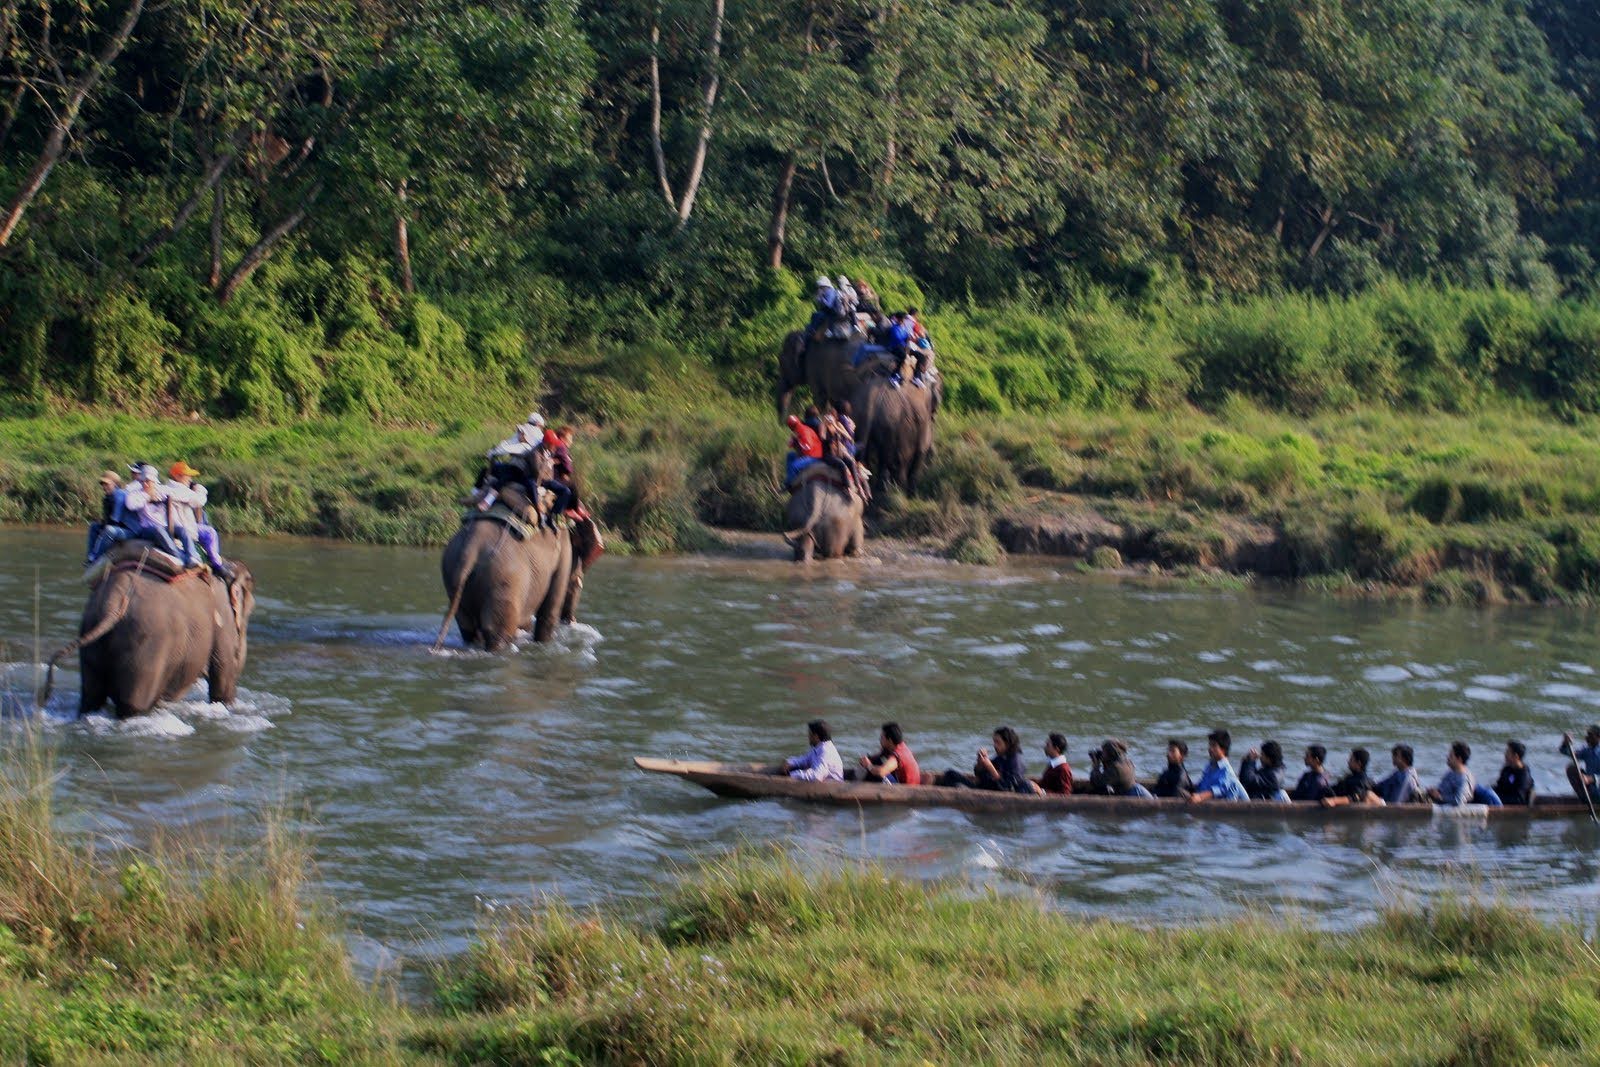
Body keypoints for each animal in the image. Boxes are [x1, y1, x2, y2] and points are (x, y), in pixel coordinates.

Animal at [39, 543, 256, 716]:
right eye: (250, 609)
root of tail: (115, 599)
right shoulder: (223, 621)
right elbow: (222, 680)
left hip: (91, 629)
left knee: (91, 698)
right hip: (147, 646)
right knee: (133, 704)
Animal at [435, 502, 579, 652]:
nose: (571, 621)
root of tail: (471, 548)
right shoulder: (563, 550)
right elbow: (550, 610)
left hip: (452, 570)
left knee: (467, 626)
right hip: (505, 578)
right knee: (498, 632)